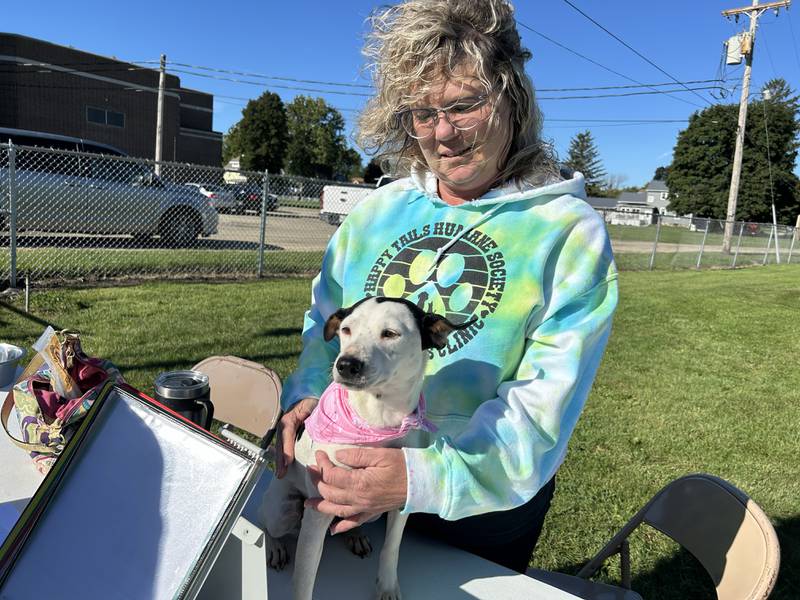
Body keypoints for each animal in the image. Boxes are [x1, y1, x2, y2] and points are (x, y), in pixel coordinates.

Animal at [260, 298, 476, 600]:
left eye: (390, 334)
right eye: (346, 329)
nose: (346, 364)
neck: (378, 419)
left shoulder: (399, 496)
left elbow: (391, 548)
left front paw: (386, 587)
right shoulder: (317, 512)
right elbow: (304, 579)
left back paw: (355, 534)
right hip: (282, 509)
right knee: (268, 524)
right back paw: (275, 547)